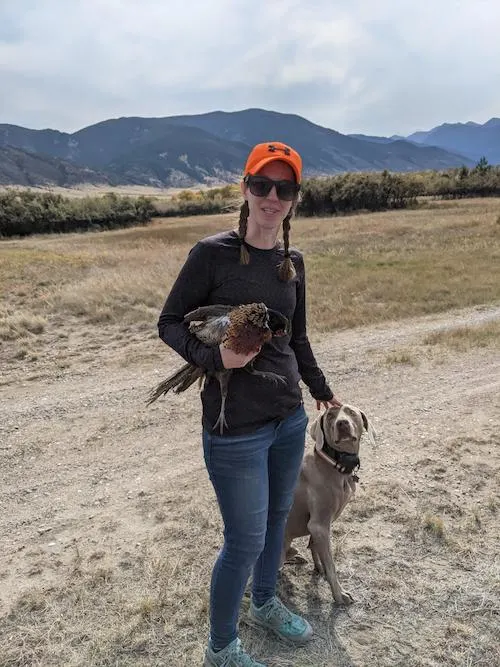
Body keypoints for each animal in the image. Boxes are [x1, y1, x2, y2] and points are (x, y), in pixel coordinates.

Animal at [282, 404, 376, 608]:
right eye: (331, 416)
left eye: (351, 412)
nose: (342, 423)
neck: (336, 465)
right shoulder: (319, 525)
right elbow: (331, 565)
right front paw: (339, 595)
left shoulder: (320, 527)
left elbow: (315, 548)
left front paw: (319, 569)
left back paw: (295, 556)